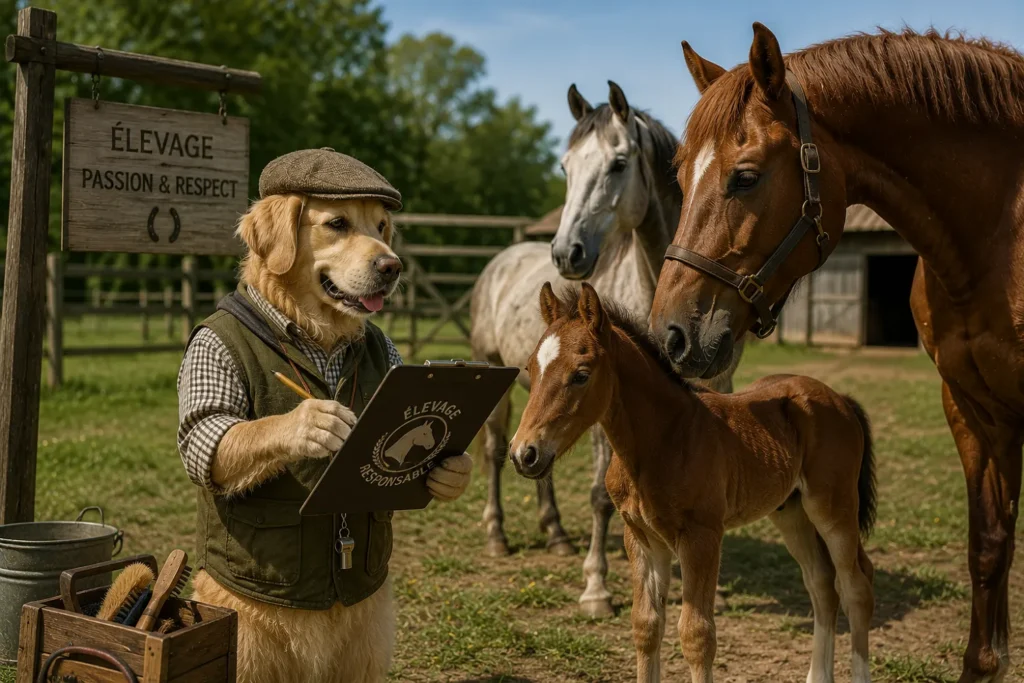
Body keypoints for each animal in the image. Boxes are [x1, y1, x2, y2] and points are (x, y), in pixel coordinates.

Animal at [471, 81, 744, 617]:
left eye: (618, 163)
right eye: (564, 167)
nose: (566, 253)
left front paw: (713, 587)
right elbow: (600, 494)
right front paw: (596, 587)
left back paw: (555, 533)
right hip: (496, 375)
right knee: (494, 451)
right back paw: (497, 536)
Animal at [510, 282, 877, 683]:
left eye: (581, 373)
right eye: (530, 368)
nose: (524, 453)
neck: (663, 440)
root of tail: (839, 398)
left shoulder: (702, 537)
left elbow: (697, 635)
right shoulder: (641, 537)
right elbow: (646, 625)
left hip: (833, 509)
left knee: (855, 587)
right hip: (791, 513)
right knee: (822, 585)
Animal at [649, 24, 1024, 682]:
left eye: (746, 176)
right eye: (679, 175)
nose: (670, 333)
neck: (998, 229)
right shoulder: (972, 410)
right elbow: (988, 548)